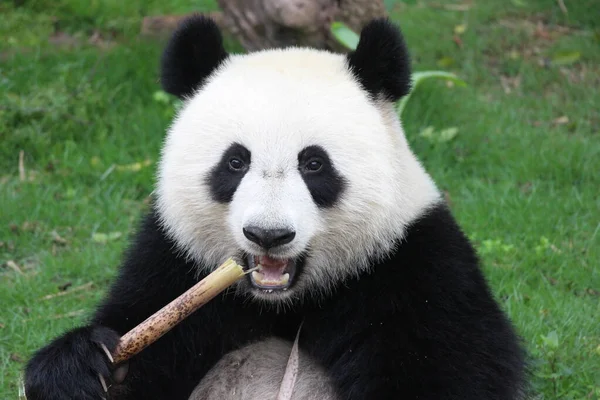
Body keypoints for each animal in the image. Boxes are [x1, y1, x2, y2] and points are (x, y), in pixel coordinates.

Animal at [24, 14, 524, 400]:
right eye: (235, 161)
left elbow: (447, 371)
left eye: (315, 164)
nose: (269, 235)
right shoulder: (172, 261)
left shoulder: (414, 268)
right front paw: (85, 366)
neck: (284, 301)